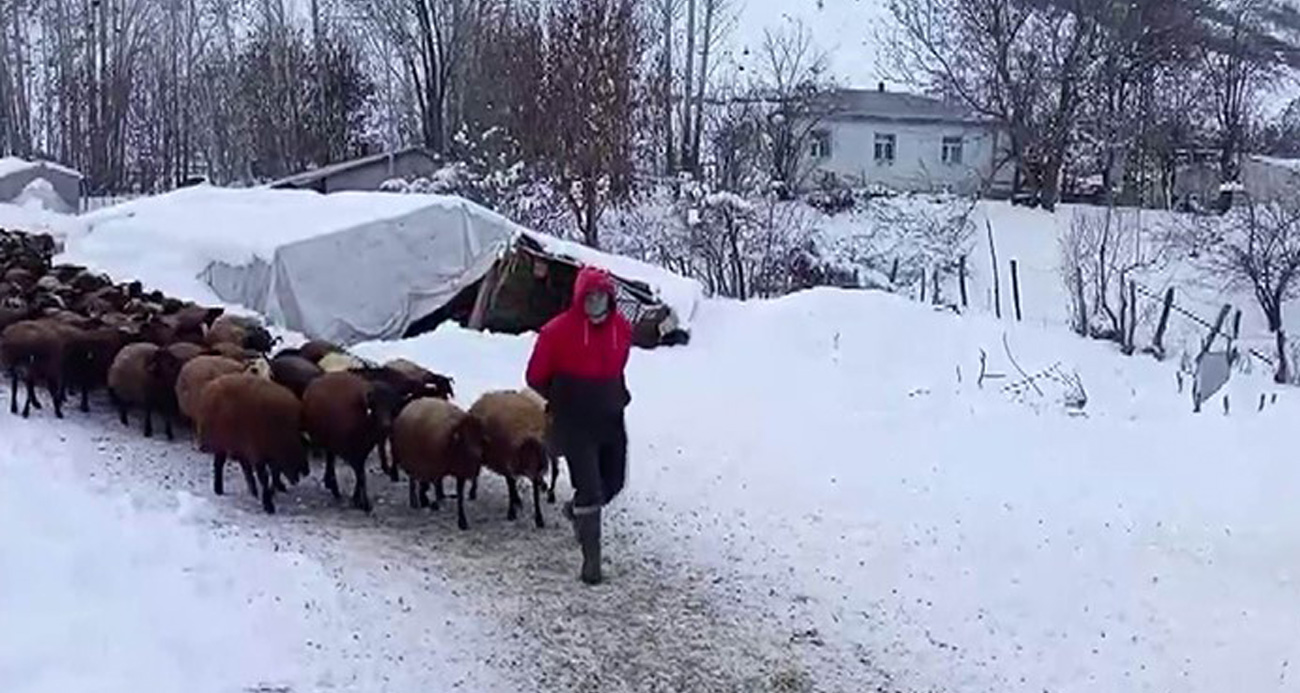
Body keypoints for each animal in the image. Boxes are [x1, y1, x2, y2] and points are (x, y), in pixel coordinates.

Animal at [195, 371, 309, 512]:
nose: (307, 471)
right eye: (301, 450)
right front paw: (268, 503)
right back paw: (219, 489)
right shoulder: (257, 452)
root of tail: (211, 385)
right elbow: (265, 478)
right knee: (219, 464)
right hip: (222, 441)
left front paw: (273, 491)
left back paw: (253, 489)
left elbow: (274, 475)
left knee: (243, 464)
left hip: (237, 443)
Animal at [390, 395, 488, 530]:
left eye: (479, 439)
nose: (478, 457)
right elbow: (429, 485)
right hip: (413, 462)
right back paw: (415, 501)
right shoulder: (432, 466)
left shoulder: (459, 472)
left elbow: (459, 497)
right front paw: (428, 501)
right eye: (464, 439)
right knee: (413, 481)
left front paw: (462, 521)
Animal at [470, 390, 551, 525]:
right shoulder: (508, 462)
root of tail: (484, 396)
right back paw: (472, 492)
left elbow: (534, 494)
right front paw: (511, 513)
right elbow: (511, 486)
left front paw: (539, 518)